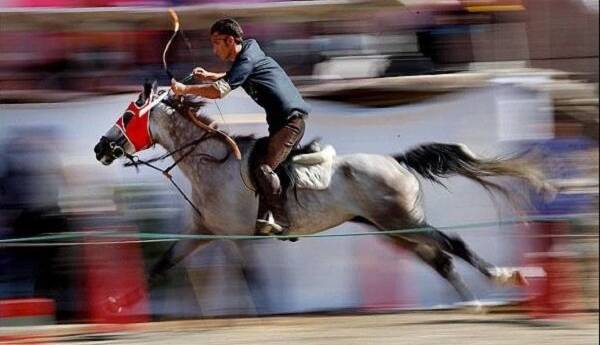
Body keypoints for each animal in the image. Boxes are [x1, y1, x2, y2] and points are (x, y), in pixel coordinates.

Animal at [92, 80, 552, 312]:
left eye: (128, 116)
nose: (101, 147)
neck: (212, 164)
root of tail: (397, 161)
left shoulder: (234, 237)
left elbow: (251, 278)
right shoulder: (202, 231)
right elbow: (161, 266)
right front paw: (115, 303)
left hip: (404, 221)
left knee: (452, 244)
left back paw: (504, 277)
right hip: (391, 228)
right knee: (439, 259)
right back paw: (471, 303)